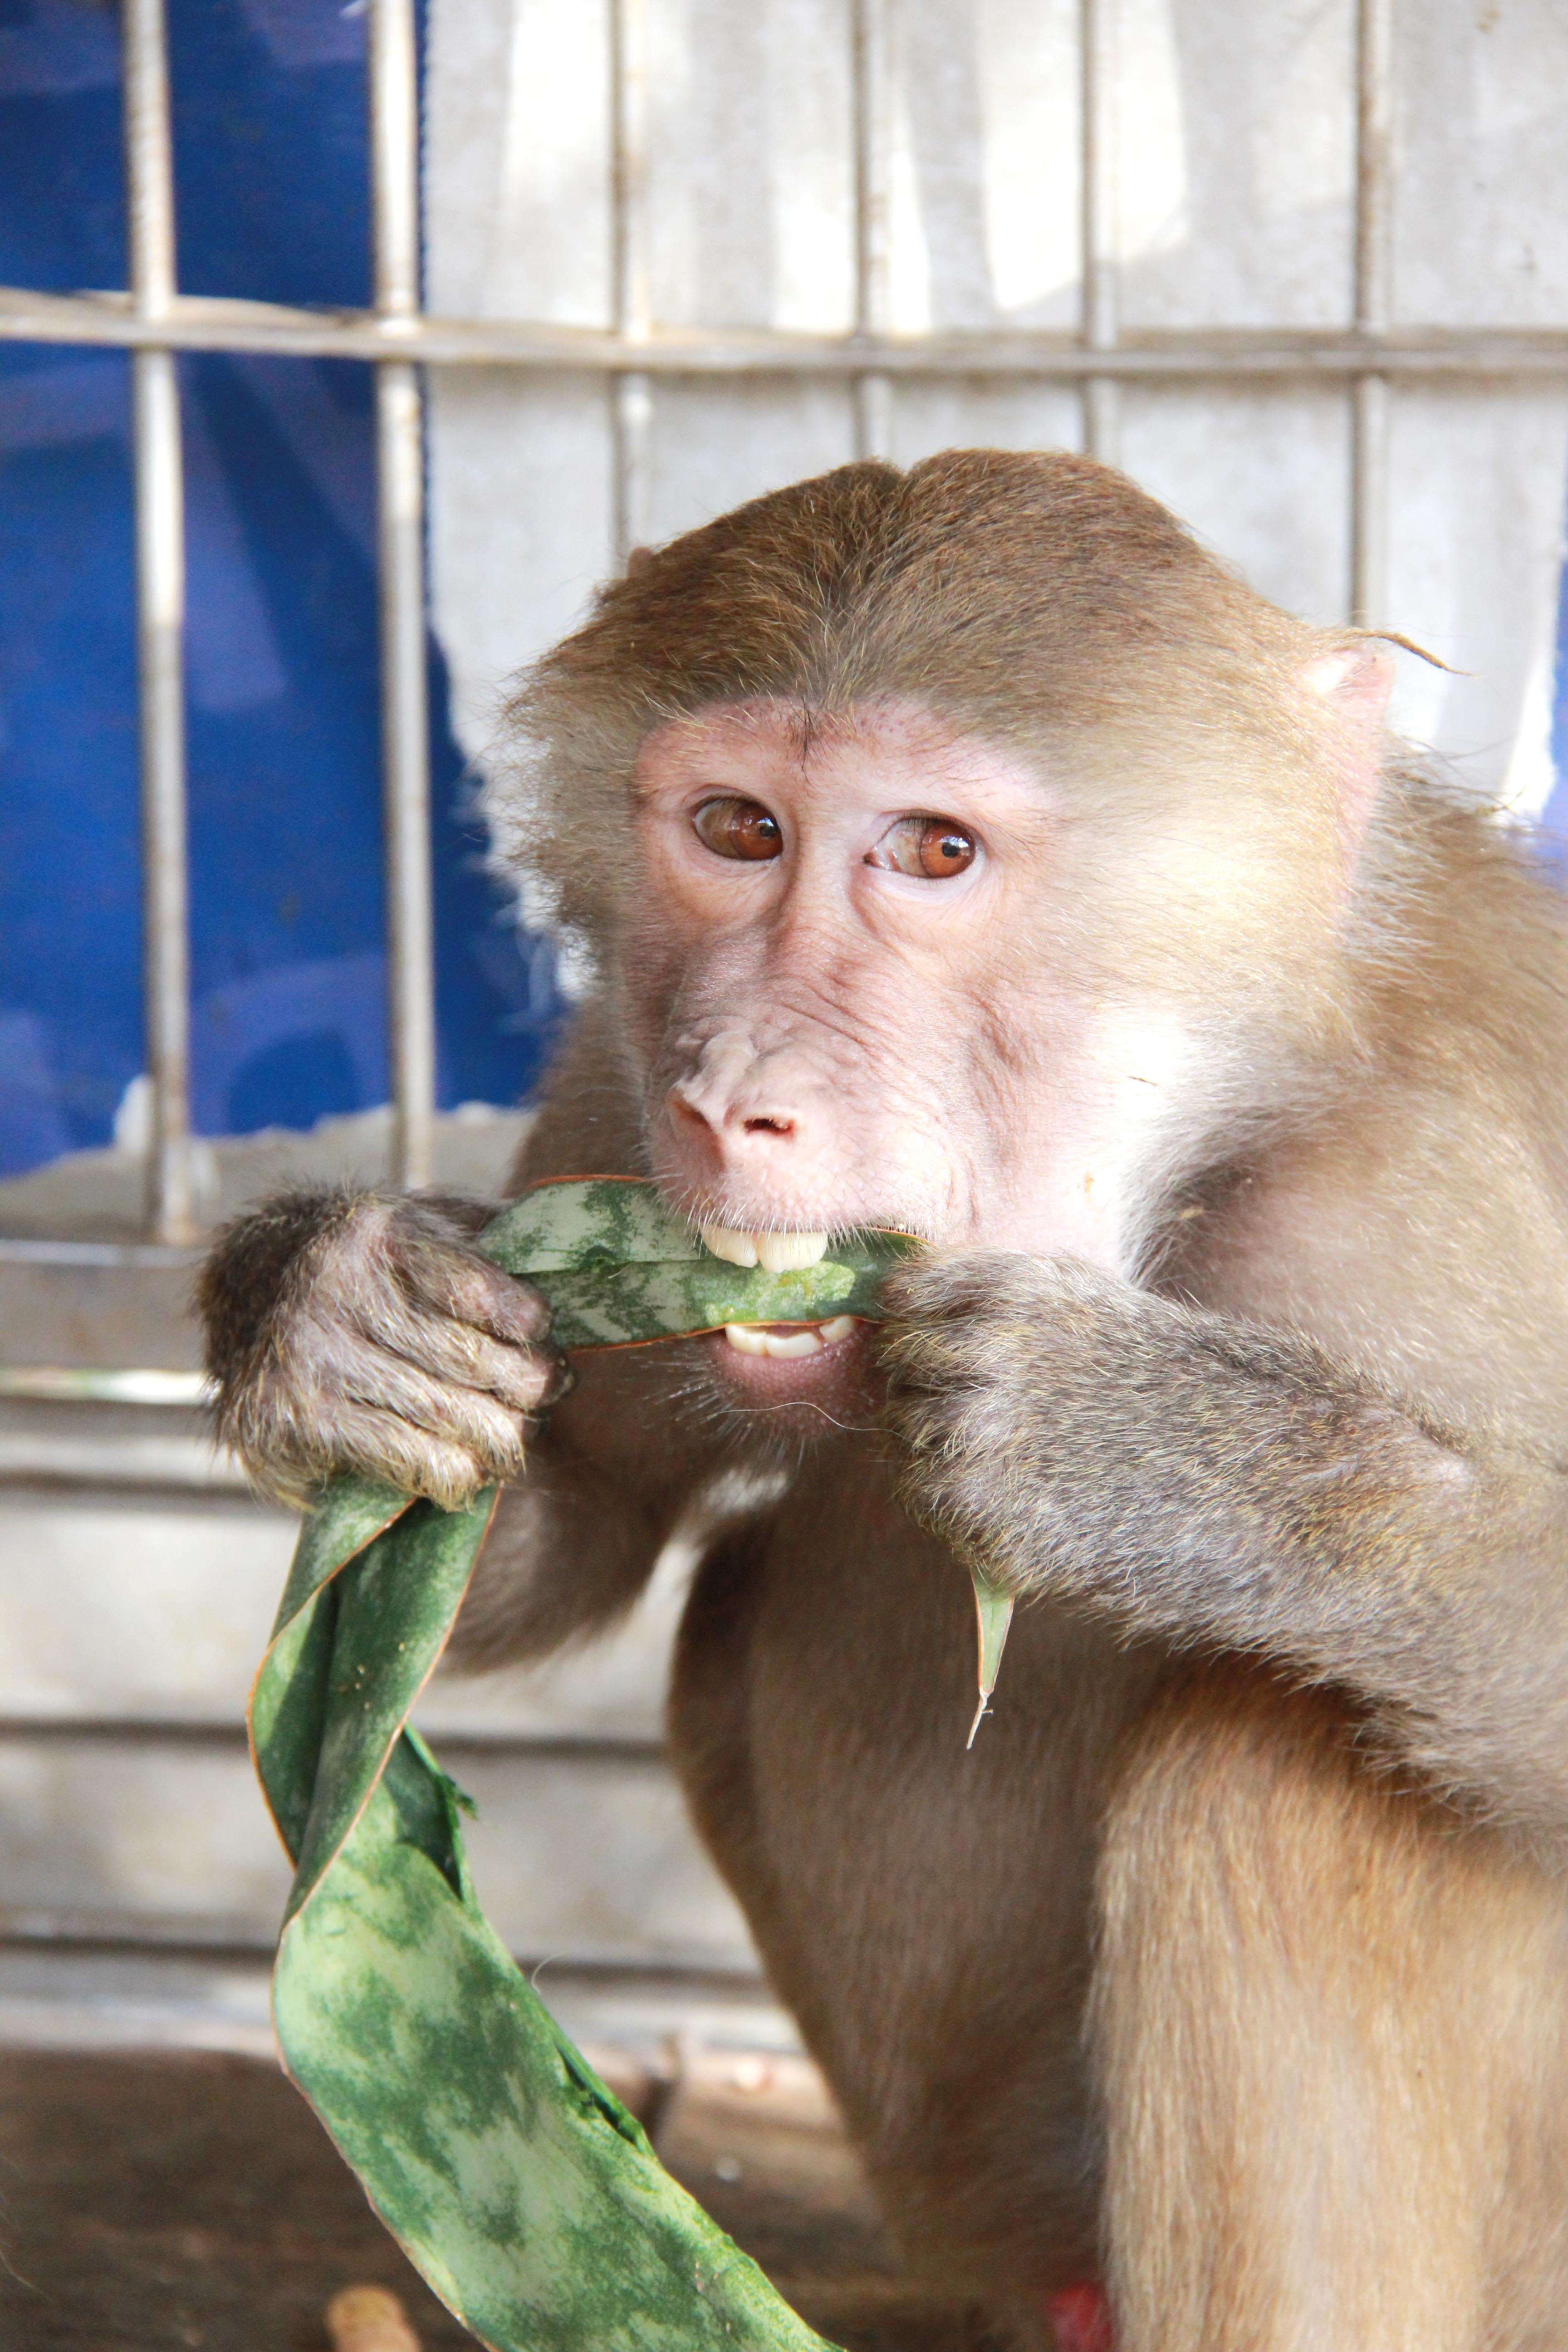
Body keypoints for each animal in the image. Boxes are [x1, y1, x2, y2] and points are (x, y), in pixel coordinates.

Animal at [200, 454, 1568, 2352]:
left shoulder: (1419, 1206)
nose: (732, 1096)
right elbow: (580, 1519)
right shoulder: (608, 1090)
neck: (1201, 1142)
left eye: (932, 852)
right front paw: (324, 1318)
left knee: (1273, 1778)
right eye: (735, 829)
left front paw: (1155, 1454)